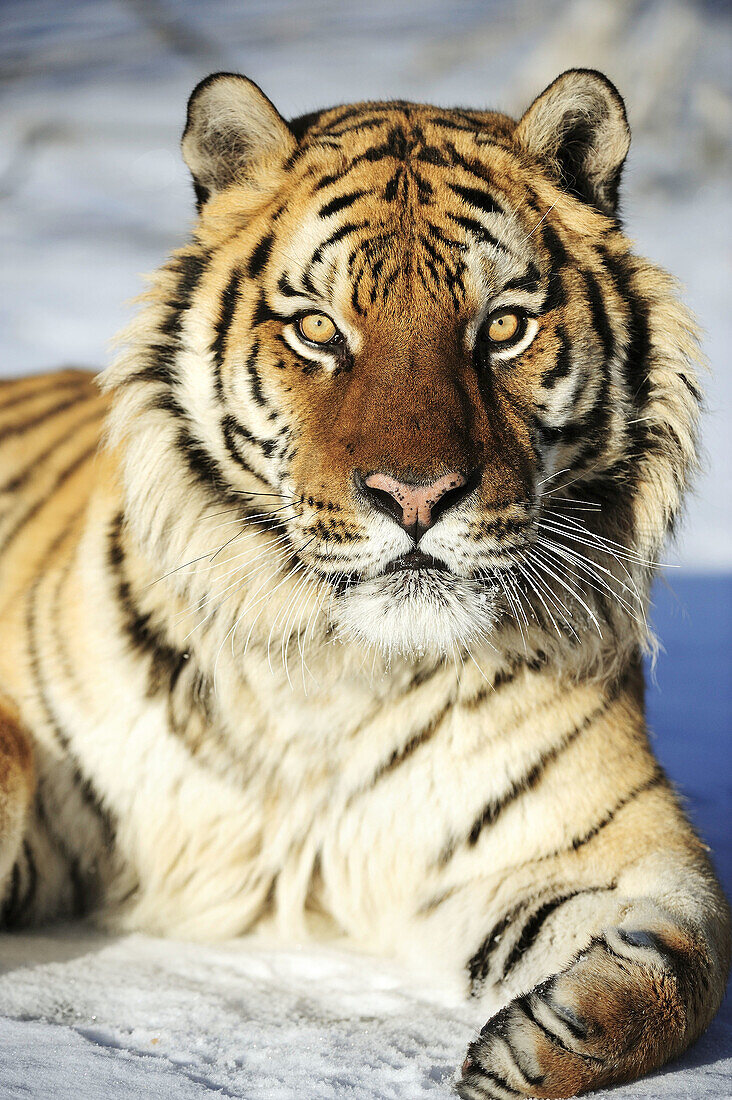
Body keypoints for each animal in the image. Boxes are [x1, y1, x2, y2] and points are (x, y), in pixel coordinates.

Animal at [0, 66, 726, 1091]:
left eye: (503, 327)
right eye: (318, 328)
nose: (415, 496)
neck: (332, 681)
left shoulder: (602, 835)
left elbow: (685, 958)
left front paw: (534, 1049)